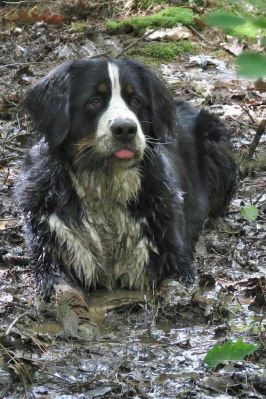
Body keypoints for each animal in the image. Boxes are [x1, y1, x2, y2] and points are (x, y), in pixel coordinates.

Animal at [16, 58, 237, 328]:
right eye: (94, 101)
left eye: (136, 101)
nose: (125, 129)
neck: (105, 184)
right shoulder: (51, 248)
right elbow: (64, 292)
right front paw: (80, 319)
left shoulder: (168, 245)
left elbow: (174, 283)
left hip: (216, 142)